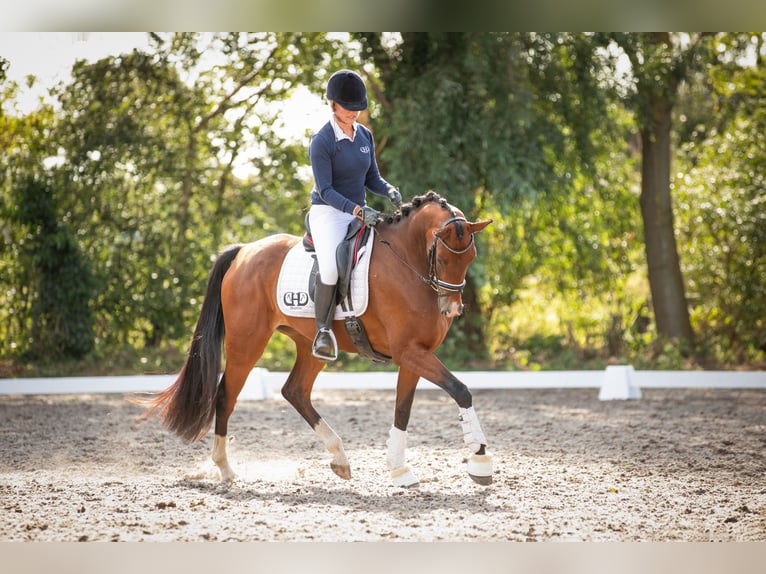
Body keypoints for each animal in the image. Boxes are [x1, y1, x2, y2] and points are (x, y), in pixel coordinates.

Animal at [141, 191, 496, 488]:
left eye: (471, 258)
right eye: (442, 259)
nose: (452, 309)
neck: (407, 262)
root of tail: (244, 251)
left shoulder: (414, 355)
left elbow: (402, 410)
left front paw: (399, 470)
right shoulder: (408, 352)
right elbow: (460, 391)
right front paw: (480, 458)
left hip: (309, 345)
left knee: (295, 391)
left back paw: (339, 458)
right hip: (246, 343)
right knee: (226, 396)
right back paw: (226, 469)